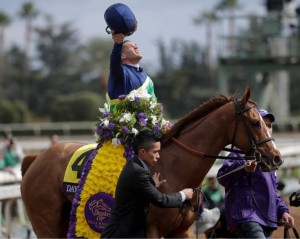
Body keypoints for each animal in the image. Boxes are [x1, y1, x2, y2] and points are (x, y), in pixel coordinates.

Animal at [20, 88, 282, 237]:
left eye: (265, 122)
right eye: (255, 122)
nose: (276, 157)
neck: (173, 168)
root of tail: (37, 159)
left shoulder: (183, 232)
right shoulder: (153, 230)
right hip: (45, 225)